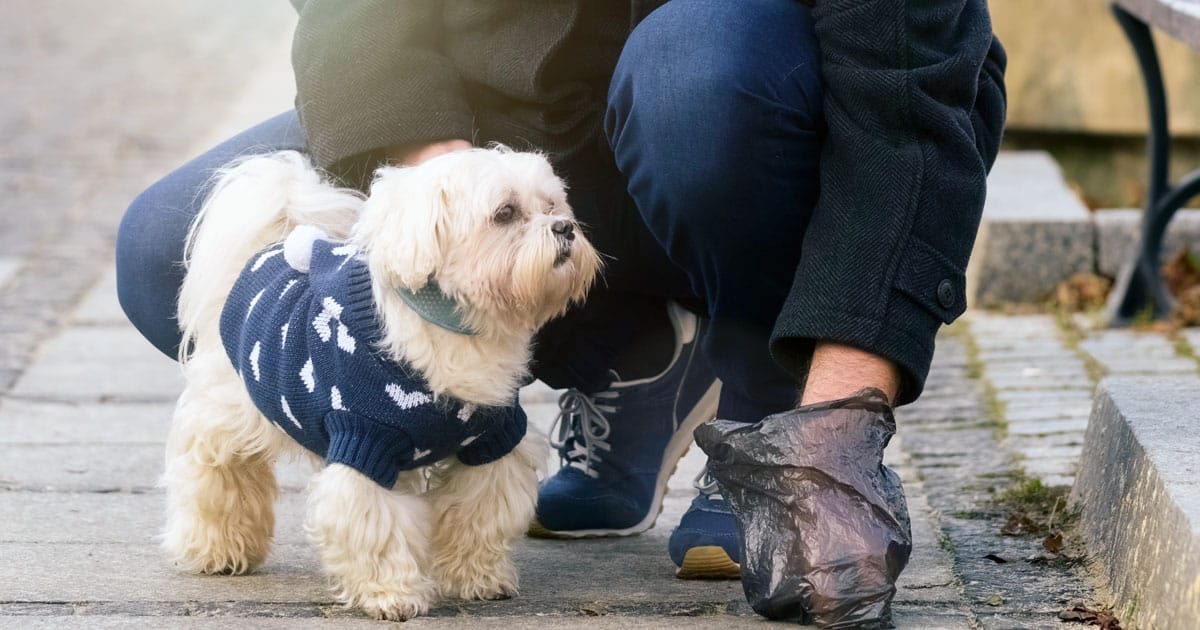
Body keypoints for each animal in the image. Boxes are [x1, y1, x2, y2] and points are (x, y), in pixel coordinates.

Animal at [162, 147, 600, 619]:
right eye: (504, 213)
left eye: (553, 205)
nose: (565, 227)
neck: (452, 330)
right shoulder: (365, 442)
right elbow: (377, 526)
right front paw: (392, 594)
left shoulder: (492, 441)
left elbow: (480, 514)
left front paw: (478, 577)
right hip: (229, 411)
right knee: (216, 475)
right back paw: (218, 549)